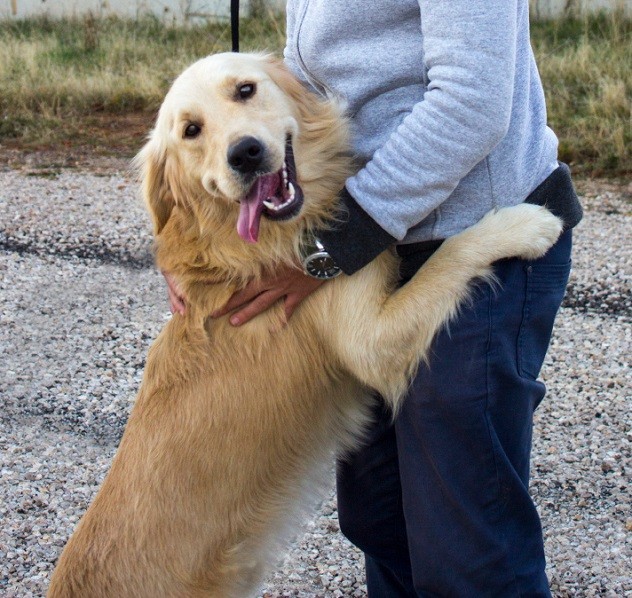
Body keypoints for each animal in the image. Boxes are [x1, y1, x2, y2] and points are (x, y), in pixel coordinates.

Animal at [49, 54, 564, 596]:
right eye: (191, 130)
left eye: (245, 90)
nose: (246, 154)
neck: (238, 249)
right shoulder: (370, 340)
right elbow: (452, 253)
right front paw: (523, 224)